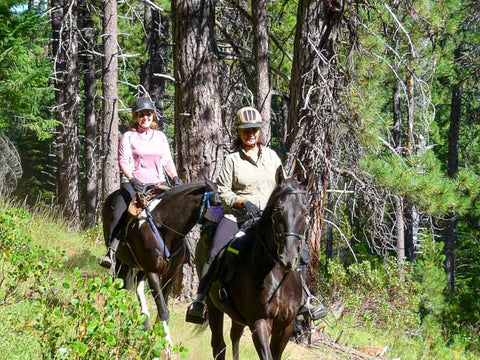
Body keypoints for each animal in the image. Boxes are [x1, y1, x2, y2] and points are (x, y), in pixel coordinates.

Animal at [104, 183, 218, 344]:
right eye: (218, 203)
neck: (165, 228)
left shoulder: (171, 274)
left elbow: (162, 307)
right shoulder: (153, 272)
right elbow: (163, 310)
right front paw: (167, 345)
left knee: (134, 285)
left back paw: (144, 322)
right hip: (121, 260)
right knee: (120, 286)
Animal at [197, 167, 310, 358]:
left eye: (306, 213)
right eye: (278, 210)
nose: (288, 258)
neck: (278, 277)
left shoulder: (286, 325)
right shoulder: (259, 322)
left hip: (237, 317)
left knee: (234, 336)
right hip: (214, 305)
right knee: (219, 345)